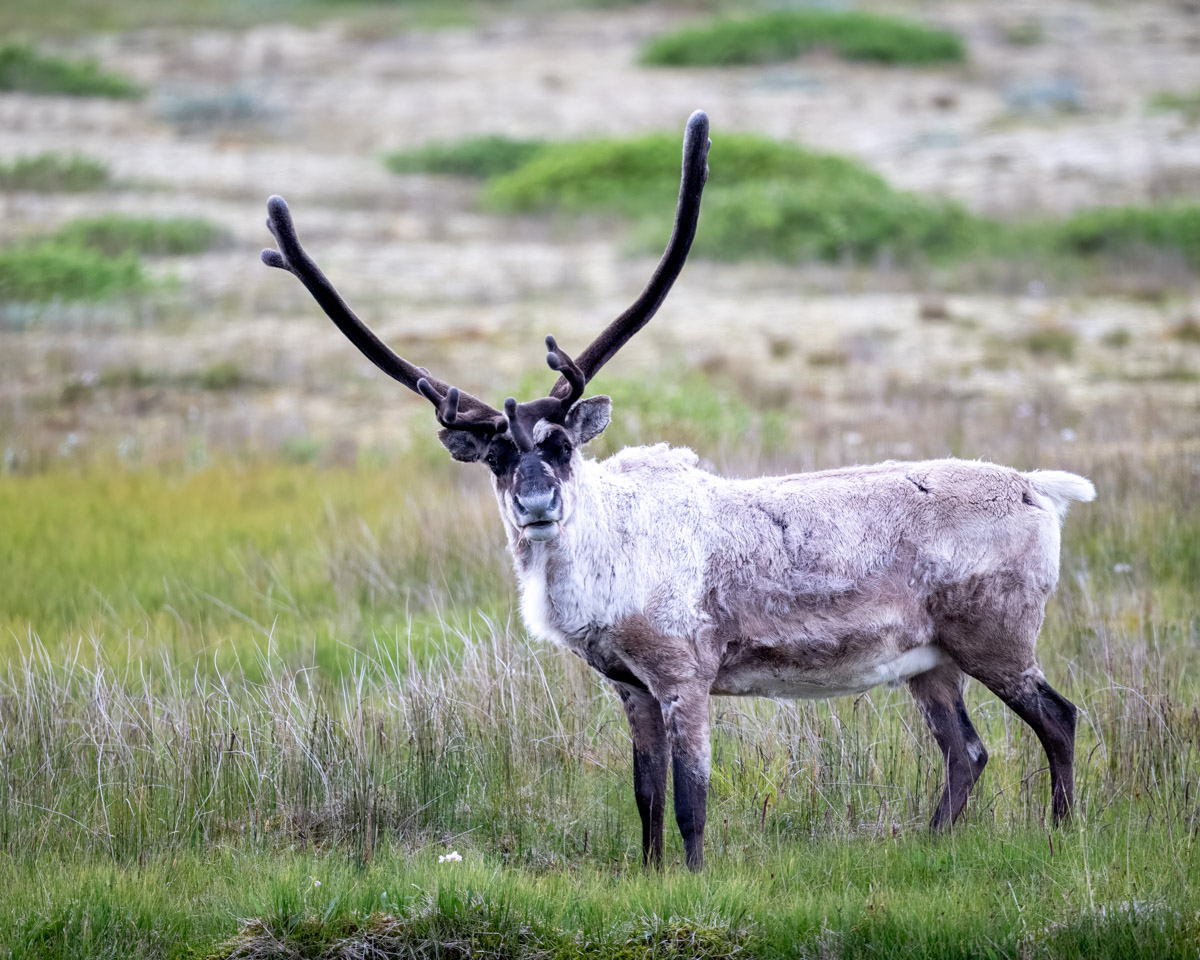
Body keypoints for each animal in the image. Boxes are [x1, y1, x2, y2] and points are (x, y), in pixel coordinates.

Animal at [261, 110, 1095, 871]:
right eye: (495, 456)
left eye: (561, 445)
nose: (535, 504)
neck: (603, 565)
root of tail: (1038, 489)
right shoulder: (628, 686)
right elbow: (646, 794)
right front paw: (649, 874)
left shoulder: (685, 674)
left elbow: (693, 797)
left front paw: (693, 881)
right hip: (929, 662)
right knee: (968, 751)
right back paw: (929, 844)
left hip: (995, 635)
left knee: (1058, 716)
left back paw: (1061, 833)